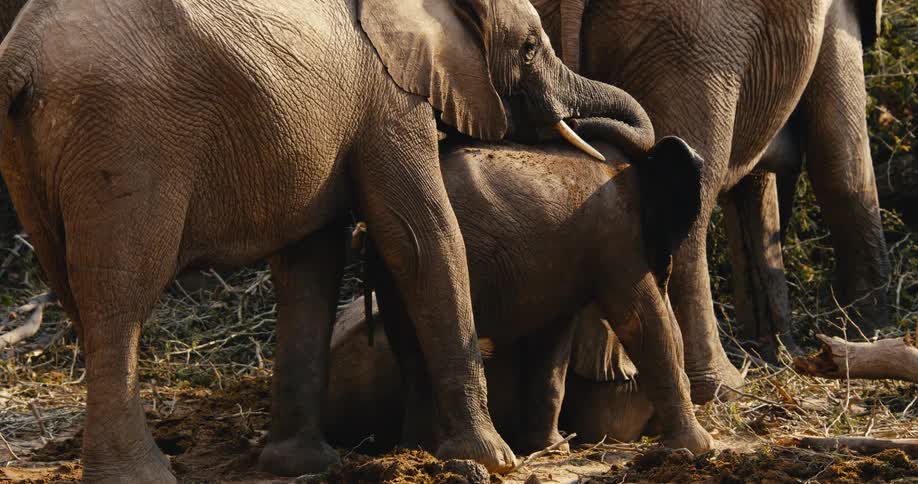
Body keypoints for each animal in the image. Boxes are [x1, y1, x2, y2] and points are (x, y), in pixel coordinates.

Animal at [0, 0, 656, 480]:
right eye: (529, 47)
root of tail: (21, 53)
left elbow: (312, 262)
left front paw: (299, 466)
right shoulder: (389, 98)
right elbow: (422, 237)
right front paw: (494, 461)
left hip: (37, 153)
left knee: (76, 293)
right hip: (123, 139)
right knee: (119, 301)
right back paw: (140, 475)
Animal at [325, 137, 713, 455]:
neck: (638, 163)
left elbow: (553, 341)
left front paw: (552, 448)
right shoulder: (616, 235)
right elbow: (641, 319)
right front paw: (696, 448)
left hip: (393, 262)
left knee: (409, 344)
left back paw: (416, 449)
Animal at [528, 0, 890, 393]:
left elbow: (757, 186)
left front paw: (778, 352)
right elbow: (842, 162)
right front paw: (870, 331)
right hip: (693, 50)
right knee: (692, 202)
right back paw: (721, 387)